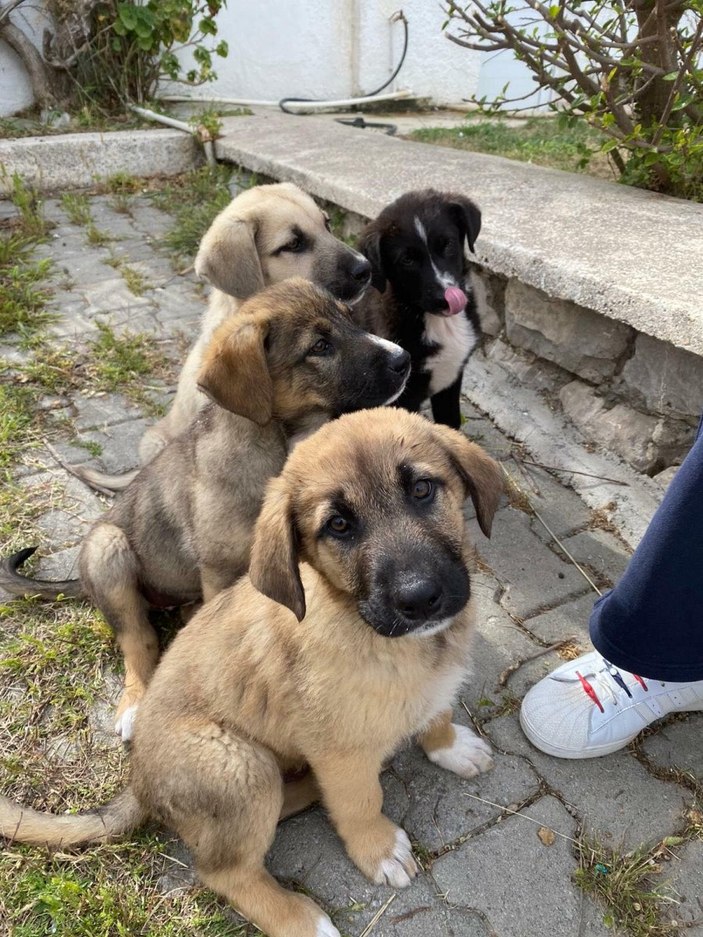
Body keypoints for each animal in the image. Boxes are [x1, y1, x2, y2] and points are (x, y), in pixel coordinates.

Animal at [0, 278, 410, 740]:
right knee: (138, 637)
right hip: (108, 549)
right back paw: (134, 703)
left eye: (350, 318)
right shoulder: (219, 567)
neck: (277, 441)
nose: (405, 360)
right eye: (320, 346)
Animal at [1, 410, 506, 936]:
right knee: (224, 870)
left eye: (422, 490)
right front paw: (378, 848)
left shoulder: (430, 688)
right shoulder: (340, 750)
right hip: (239, 765)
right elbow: (361, 801)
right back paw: (300, 919)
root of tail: (138, 780)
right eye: (339, 526)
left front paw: (449, 746)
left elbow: (436, 712)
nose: (419, 598)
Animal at [354, 191, 482, 432]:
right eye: (407, 260)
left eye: (447, 244)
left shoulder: (450, 383)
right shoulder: (403, 395)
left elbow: (451, 424)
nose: (447, 298)